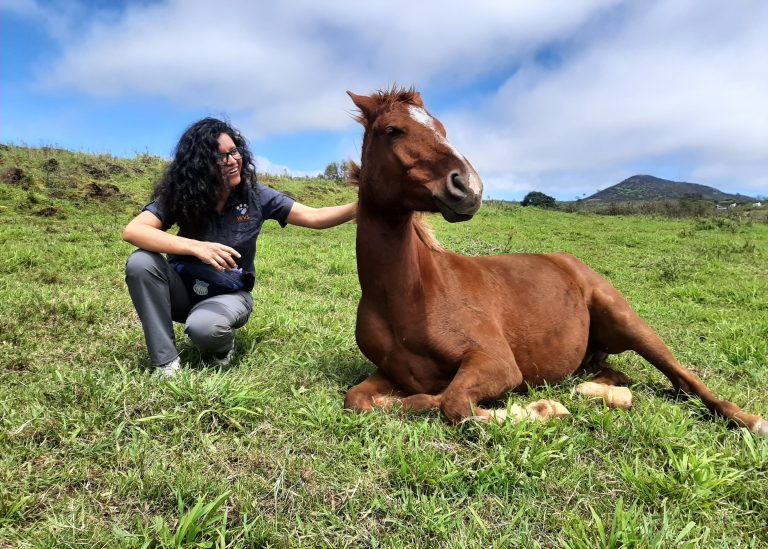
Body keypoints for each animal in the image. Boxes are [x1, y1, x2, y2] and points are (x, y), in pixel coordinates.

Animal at [342, 87, 766, 435]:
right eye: (394, 130)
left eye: (443, 128)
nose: (469, 187)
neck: (409, 296)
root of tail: (571, 262)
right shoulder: (389, 373)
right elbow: (361, 401)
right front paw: (545, 407)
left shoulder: (496, 363)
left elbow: (449, 402)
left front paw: (541, 410)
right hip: (592, 357)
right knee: (617, 377)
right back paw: (599, 394)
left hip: (629, 322)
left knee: (684, 379)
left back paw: (749, 420)